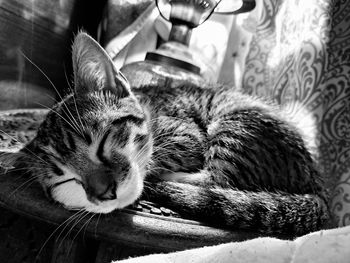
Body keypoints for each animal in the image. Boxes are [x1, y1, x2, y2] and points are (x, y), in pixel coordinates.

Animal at [6, 32, 328, 236]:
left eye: (103, 142)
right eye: (66, 181)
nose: (105, 192)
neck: (151, 110)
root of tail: (316, 182)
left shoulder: (187, 136)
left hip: (237, 123)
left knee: (219, 180)